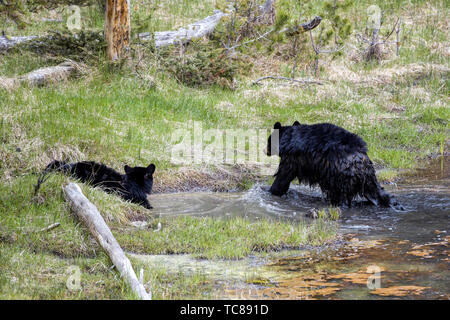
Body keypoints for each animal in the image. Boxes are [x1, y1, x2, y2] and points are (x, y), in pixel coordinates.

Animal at [268, 120, 404, 210]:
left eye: (268, 140)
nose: (266, 150)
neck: (288, 139)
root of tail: (360, 160)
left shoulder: (292, 159)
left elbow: (283, 176)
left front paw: (272, 190)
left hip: (340, 176)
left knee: (339, 196)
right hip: (370, 177)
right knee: (378, 193)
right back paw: (393, 204)